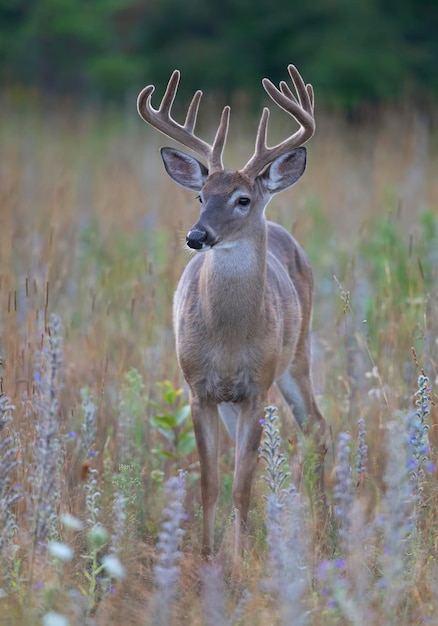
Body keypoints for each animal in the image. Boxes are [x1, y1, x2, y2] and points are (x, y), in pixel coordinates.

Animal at [139, 66, 326, 560]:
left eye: (242, 199)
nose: (196, 236)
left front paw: (239, 559)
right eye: (200, 196)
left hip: (296, 355)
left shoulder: (257, 387)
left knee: (317, 427)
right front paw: (207, 555)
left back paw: (326, 523)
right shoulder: (198, 388)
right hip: (232, 398)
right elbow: (210, 481)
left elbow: (242, 483)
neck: (226, 341)